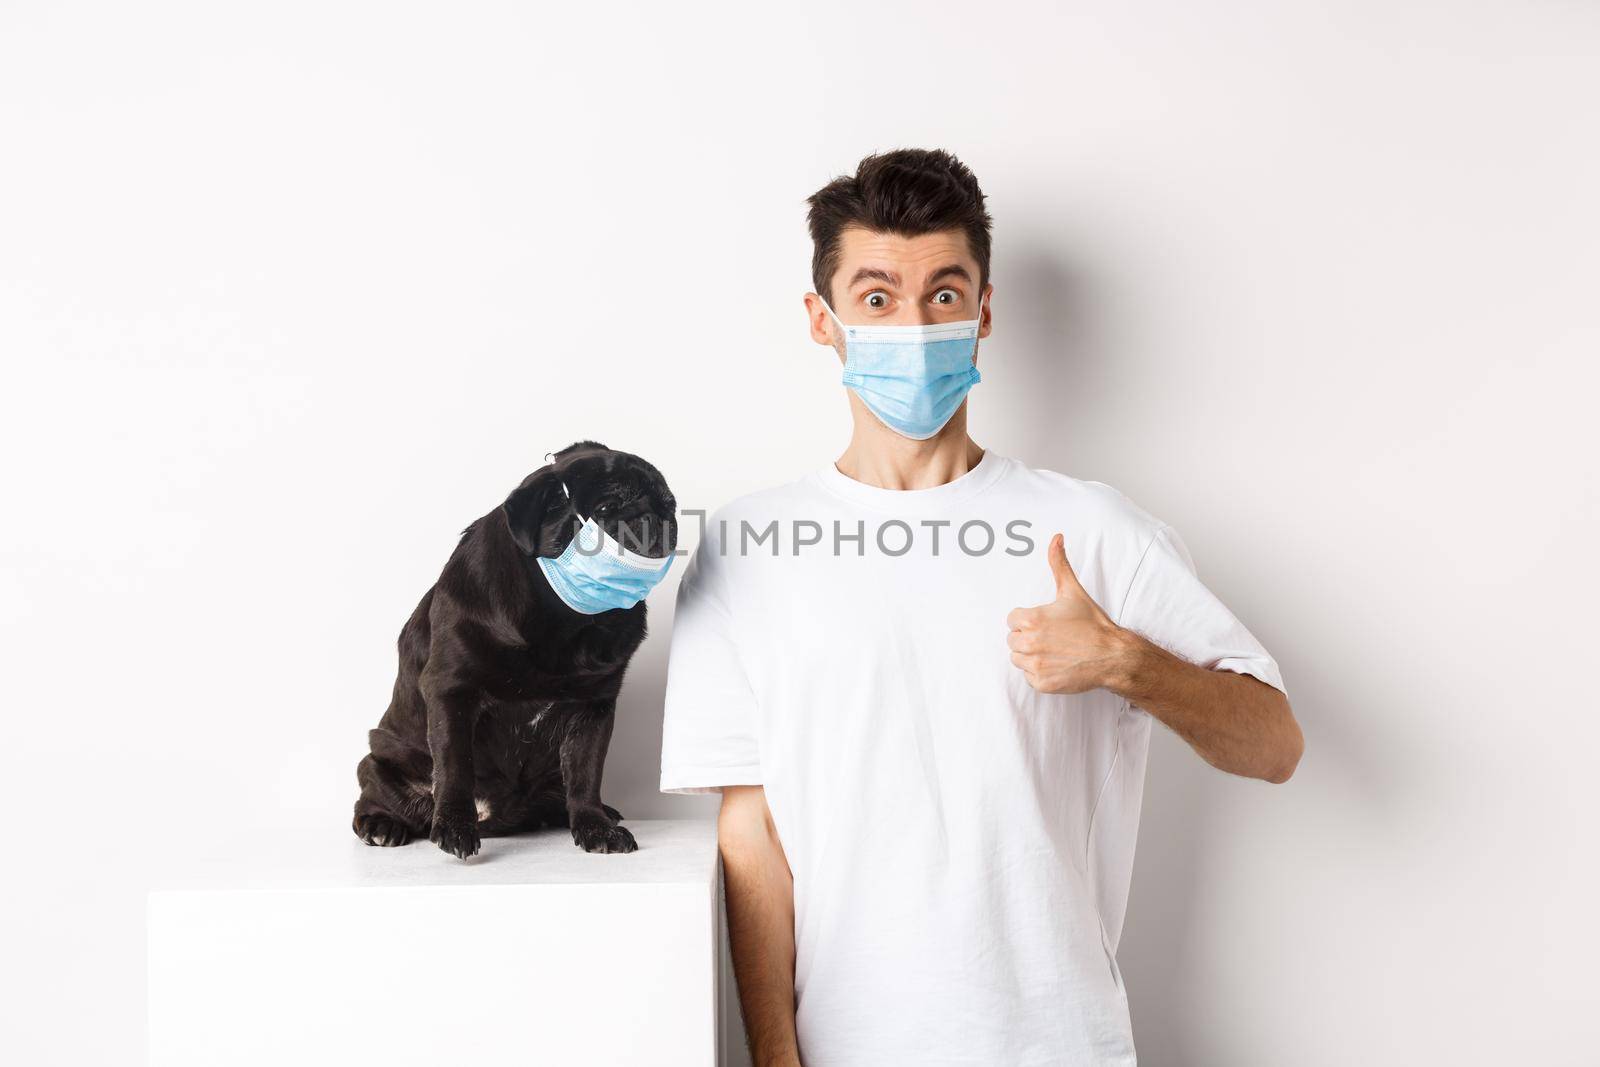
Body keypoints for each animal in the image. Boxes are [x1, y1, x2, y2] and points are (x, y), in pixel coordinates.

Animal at [350, 441, 675, 857]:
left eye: (670, 505)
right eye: (606, 509)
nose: (656, 518)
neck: (565, 620)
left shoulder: (593, 708)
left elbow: (586, 774)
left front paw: (595, 826)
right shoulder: (451, 691)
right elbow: (454, 764)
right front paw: (454, 826)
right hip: (380, 761)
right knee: (374, 793)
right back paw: (382, 825)